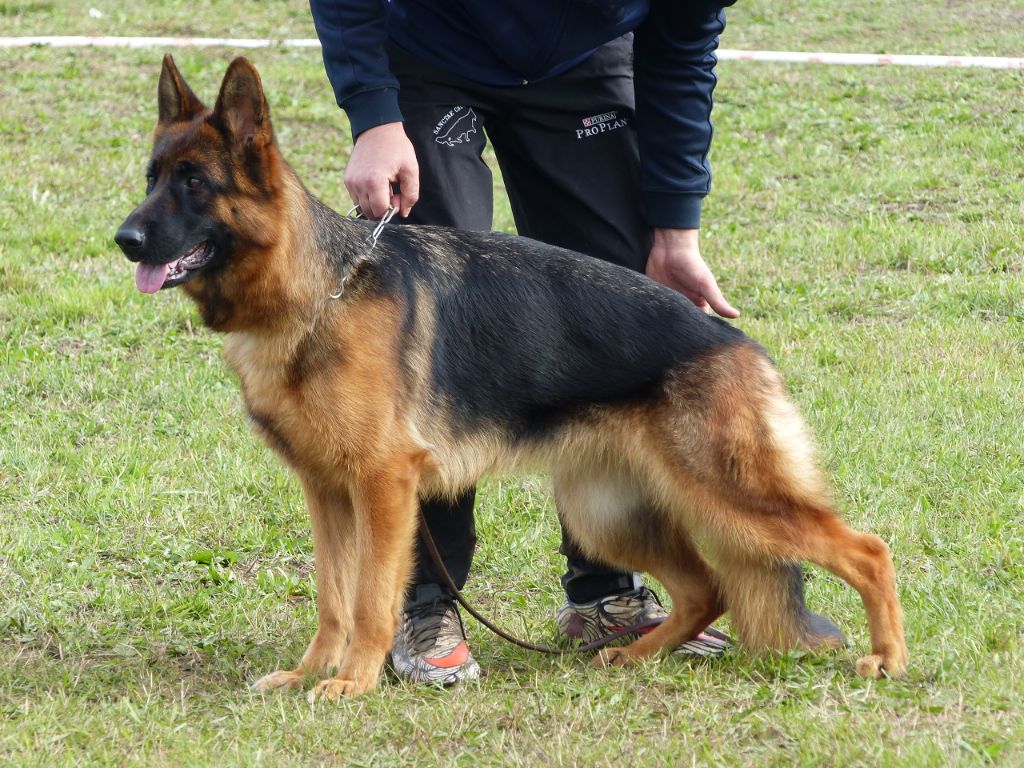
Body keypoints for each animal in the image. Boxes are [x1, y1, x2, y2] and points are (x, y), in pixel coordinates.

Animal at [116, 57, 909, 700]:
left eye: (194, 184)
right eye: (152, 180)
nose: (122, 239)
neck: (317, 293)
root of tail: (735, 341)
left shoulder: (383, 486)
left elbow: (370, 601)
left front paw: (353, 682)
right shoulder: (327, 492)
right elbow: (332, 599)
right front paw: (310, 674)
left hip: (728, 496)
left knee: (867, 550)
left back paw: (888, 659)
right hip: (605, 512)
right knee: (707, 588)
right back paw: (634, 656)